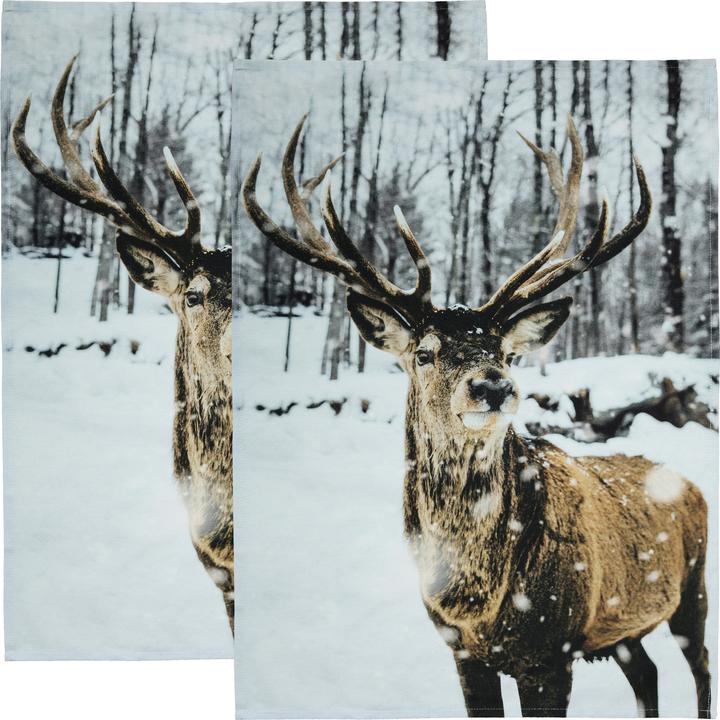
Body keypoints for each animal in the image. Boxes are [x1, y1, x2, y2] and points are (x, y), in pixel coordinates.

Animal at [242, 115, 711, 717]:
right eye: (424, 353)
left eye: (506, 352)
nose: (492, 384)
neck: (475, 600)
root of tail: (690, 483)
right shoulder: (461, 651)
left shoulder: (550, 652)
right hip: (623, 630)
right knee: (647, 673)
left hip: (694, 589)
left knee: (700, 669)